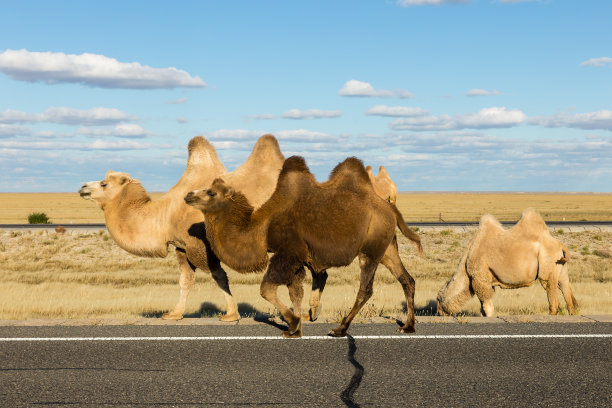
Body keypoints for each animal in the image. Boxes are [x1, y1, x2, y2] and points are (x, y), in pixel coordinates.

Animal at [78, 135, 284, 320]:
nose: (82, 187)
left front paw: (232, 314)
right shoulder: (182, 246)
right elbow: (185, 280)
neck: (165, 216)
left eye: (104, 184)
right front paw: (174, 314)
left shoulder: (200, 244)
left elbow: (219, 276)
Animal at [186, 156, 424, 338]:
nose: (188, 195)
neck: (263, 226)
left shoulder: (288, 252)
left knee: (366, 288)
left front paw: (292, 323)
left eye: (211, 192)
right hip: (387, 247)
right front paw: (296, 329)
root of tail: (390, 208)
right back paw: (408, 326)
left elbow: (267, 289)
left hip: (371, 249)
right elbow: (296, 291)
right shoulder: (297, 257)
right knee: (407, 279)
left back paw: (340, 329)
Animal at [438, 209, 576, 318]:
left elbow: (486, 306)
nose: (438, 313)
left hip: (547, 263)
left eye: (438, 299)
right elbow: (483, 307)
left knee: (550, 287)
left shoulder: (480, 278)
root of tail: (560, 245)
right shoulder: (487, 280)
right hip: (560, 266)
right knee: (565, 287)